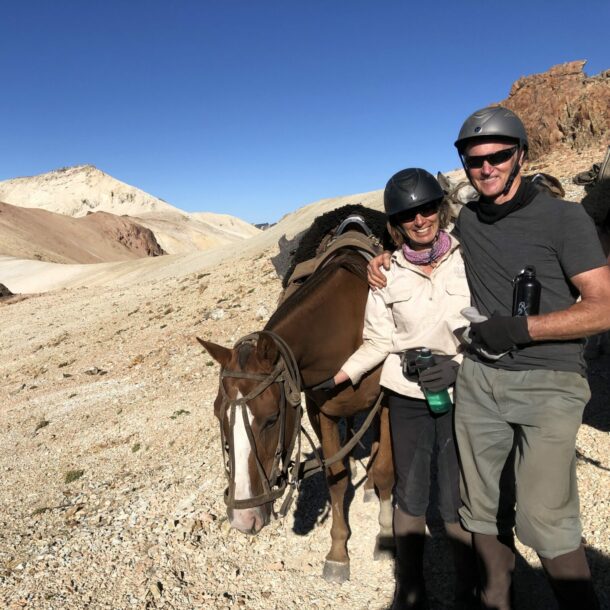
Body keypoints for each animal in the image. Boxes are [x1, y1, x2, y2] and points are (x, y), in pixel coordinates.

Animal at [198, 208, 395, 583]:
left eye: (272, 418)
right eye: (217, 414)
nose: (243, 520)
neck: (349, 327)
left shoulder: (391, 401)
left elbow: (384, 469)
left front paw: (386, 534)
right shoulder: (320, 410)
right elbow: (336, 477)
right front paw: (338, 553)